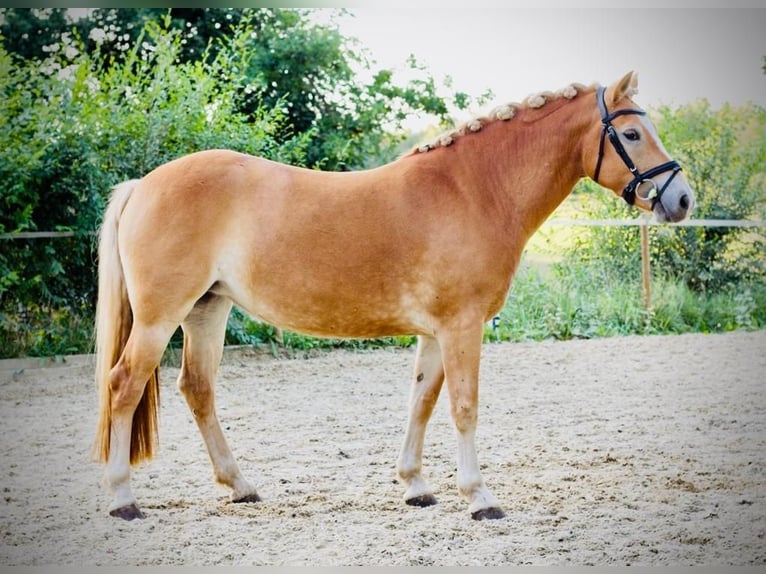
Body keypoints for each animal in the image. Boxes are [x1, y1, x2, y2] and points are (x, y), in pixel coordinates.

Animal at [91, 71, 696, 520]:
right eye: (633, 135)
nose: (683, 199)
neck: (474, 190)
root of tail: (143, 185)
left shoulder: (436, 333)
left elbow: (422, 401)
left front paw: (416, 485)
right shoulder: (462, 327)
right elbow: (464, 407)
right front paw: (479, 497)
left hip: (207, 310)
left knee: (198, 388)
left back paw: (240, 485)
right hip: (159, 318)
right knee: (123, 385)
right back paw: (123, 497)